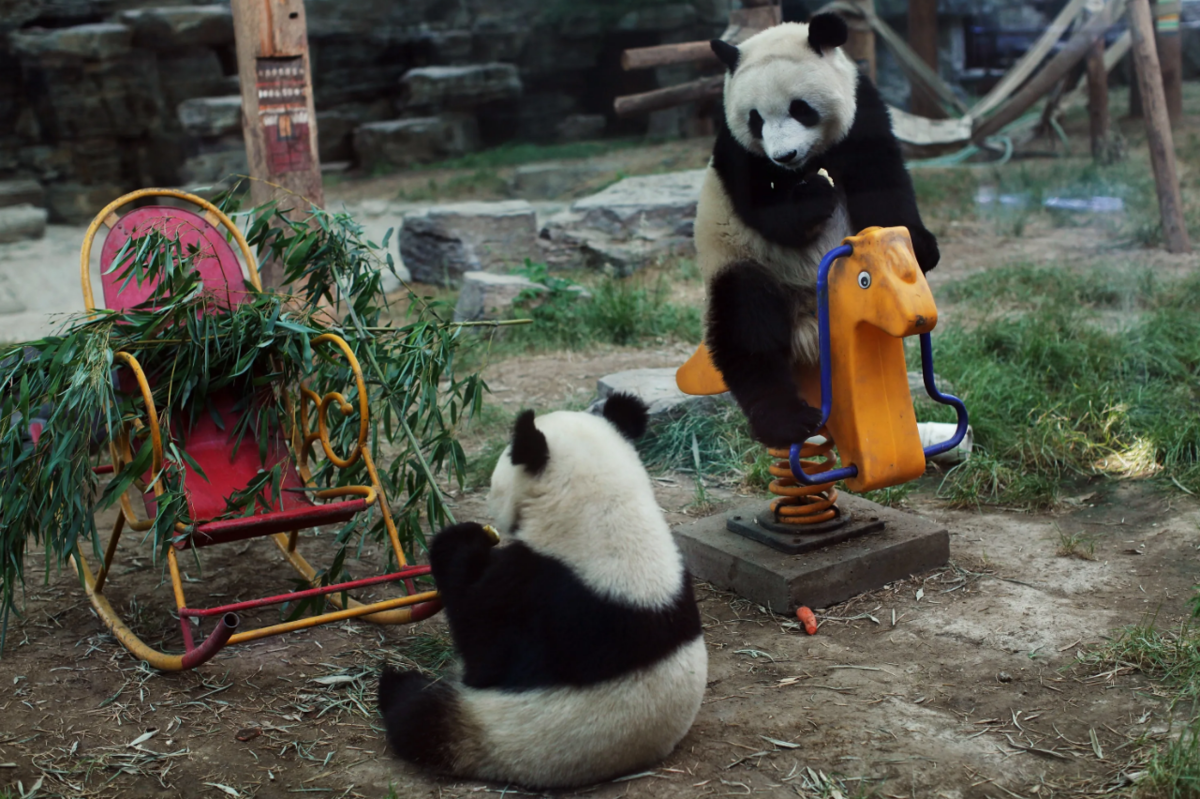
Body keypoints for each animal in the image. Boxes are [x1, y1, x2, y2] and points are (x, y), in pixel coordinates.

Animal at [379, 391, 705, 782]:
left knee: (418, 714)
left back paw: (392, 683)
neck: (606, 510)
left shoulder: (539, 595)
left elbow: (483, 644)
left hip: (496, 730)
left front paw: (460, 542)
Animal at [700, 14, 940, 448]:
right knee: (748, 324)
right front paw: (813, 196)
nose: (784, 156)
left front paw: (919, 246)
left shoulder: (864, 112)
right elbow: (764, 210)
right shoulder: (735, 150)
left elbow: (881, 180)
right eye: (755, 119)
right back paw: (787, 421)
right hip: (742, 261)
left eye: (801, 109)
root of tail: (810, 330)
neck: (808, 163)